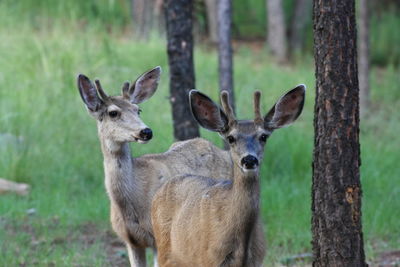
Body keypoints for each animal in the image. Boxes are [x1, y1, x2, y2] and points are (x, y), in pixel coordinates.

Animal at [152, 86, 304, 267]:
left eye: (263, 137)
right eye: (231, 138)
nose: (249, 159)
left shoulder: (257, 260)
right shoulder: (208, 259)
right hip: (165, 251)